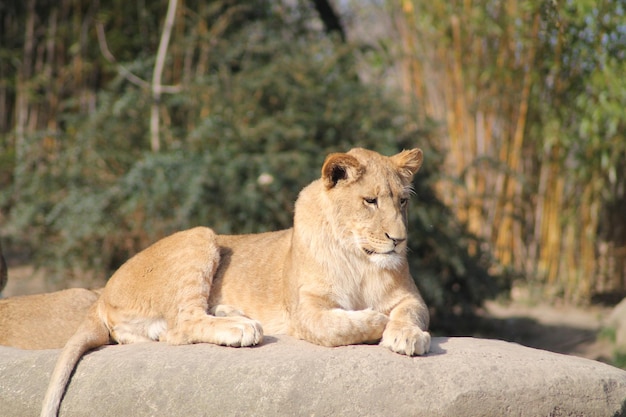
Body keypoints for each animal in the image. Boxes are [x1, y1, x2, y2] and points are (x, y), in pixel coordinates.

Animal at [39, 147, 428, 416]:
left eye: (402, 202)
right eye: (370, 201)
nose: (399, 240)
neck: (360, 259)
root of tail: (102, 294)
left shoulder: (411, 298)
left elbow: (409, 313)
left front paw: (408, 335)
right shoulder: (305, 311)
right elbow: (338, 327)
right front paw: (377, 320)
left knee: (167, 331)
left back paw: (233, 315)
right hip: (199, 235)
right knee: (183, 325)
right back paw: (240, 328)